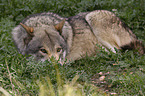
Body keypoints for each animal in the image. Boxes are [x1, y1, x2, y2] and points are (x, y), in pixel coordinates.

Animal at [11, 10, 144, 64]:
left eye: (59, 50)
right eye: (43, 50)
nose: (58, 66)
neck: (41, 22)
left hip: (93, 17)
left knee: (115, 52)